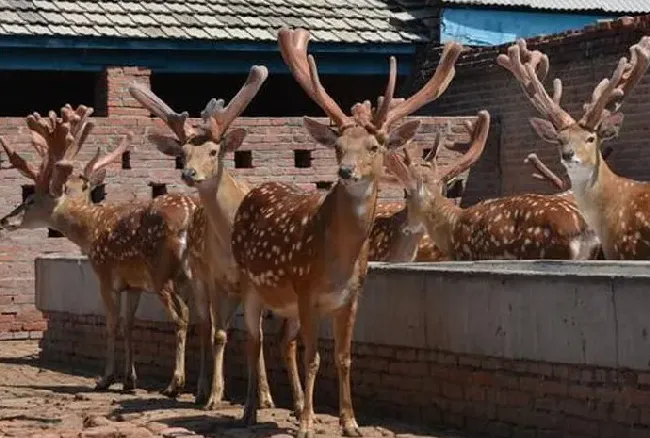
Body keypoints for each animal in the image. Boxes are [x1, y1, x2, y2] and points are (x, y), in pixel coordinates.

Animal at [0, 104, 200, 396]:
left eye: (30, 199)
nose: (5, 220)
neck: (91, 230)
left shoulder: (105, 274)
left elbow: (112, 323)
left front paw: (106, 378)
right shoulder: (134, 283)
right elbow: (129, 324)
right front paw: (129, 380)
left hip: (162, 273)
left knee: (182, 316)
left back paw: (175, 384)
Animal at [128, 66, 278, 408]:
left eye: (213, 150)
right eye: (183, 153)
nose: (189, 174)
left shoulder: (252, 279)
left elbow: (257, 334)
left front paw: (265, 397)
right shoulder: (214, 277)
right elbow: (218, 334)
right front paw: (215, 395)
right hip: (198, 278)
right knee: (205, 325)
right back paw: (199, 389)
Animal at [228, 28, 460, 438]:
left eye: (375, 145)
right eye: (337, 146)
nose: (346, 171)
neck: (337, 262)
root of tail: (255, 191)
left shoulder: (351, 297)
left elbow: (344, 356)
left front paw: (350, 422)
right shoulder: (306, 290)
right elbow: (314, 358)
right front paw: (307, 426)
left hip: (285, 304)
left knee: (281, 342)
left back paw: (294, 406)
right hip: (249, 283)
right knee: (253, 341)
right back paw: (251, 411)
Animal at [382, 109, 600, 262]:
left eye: (406, 194)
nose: (406, 226)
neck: (452, 228)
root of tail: (580, 230)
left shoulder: (466, 255)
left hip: (544, 249)